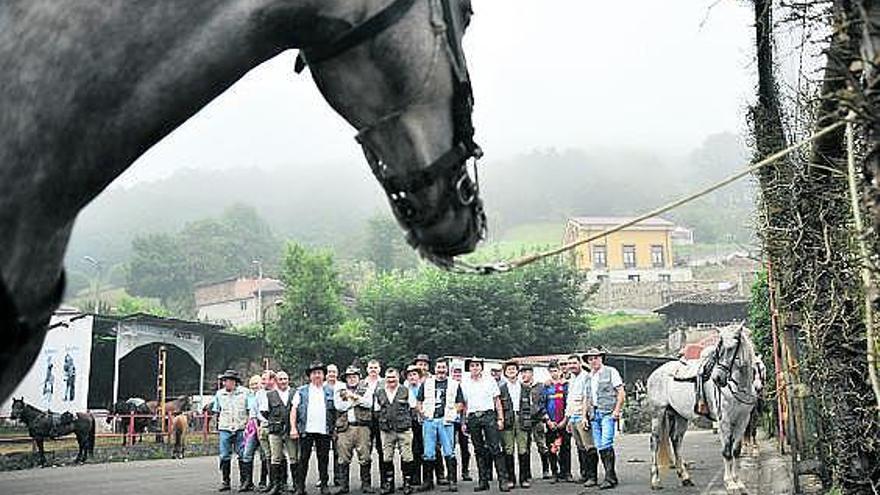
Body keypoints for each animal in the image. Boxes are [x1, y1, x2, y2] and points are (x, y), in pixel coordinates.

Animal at [644, 324, 760, 494]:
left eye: (732, 348)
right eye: (719, 348)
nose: (718, 378)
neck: (736, 387)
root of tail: (656, 373)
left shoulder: (742, 421)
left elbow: (735, 451)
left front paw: (738, 482)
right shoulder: (724, 421)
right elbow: (726, 451)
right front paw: (729, 483)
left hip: (680, 416)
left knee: (676, 440)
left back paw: (685, 477)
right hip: (658, 412)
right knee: (655, 442)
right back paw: (655, 481)